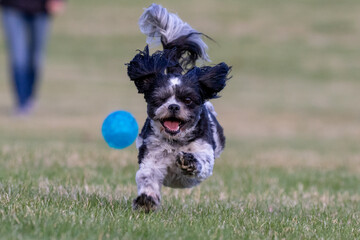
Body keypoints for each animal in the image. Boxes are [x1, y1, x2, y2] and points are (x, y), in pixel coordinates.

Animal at [126, 2, 231, 211]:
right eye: (159, 99)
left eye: (188, 100)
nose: (174, 106)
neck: (175, 142)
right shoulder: (152, 156)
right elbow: (148, 175)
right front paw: (146, 199)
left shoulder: (204, 151)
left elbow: (202, 162)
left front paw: (189, 161)